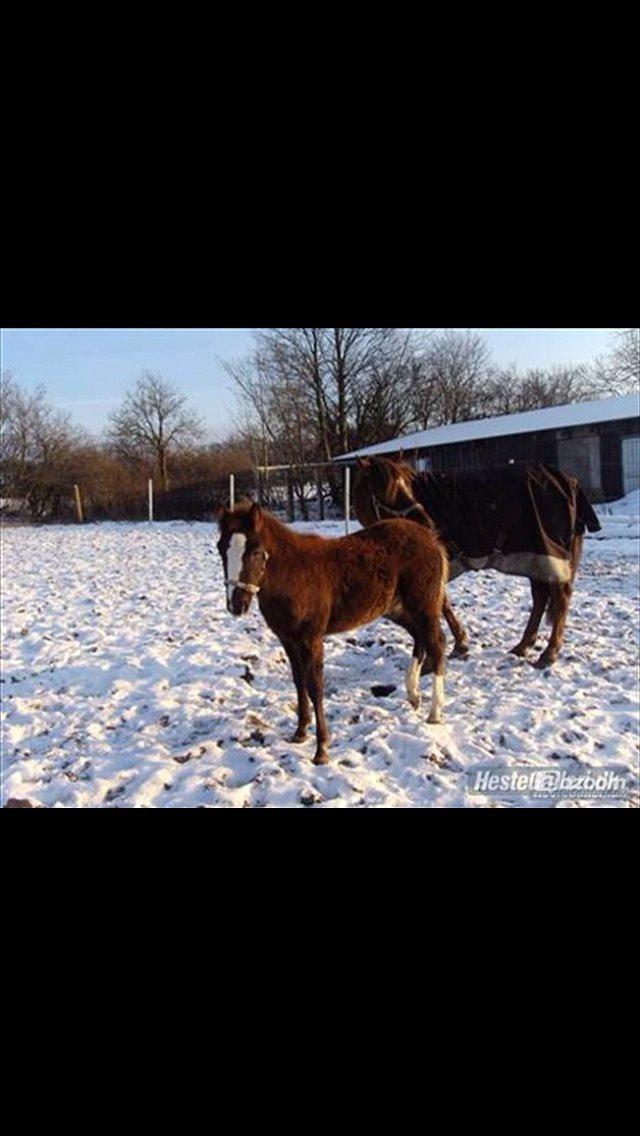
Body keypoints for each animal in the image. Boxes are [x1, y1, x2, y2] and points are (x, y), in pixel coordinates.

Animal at [218, 504, 447, 763]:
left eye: (256, 551)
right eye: (220, 549)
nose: (237, 605)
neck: (292, 574)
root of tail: (431, 538)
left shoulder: (311, 639)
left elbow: (315, 687)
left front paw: (321, 750)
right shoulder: (288, 640)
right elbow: (299, 682)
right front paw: (300, 733)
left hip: (423, 606)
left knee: (437, 645)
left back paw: (434, 712)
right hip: (397, 608)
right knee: (420, 638)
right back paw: (414, 694)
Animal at [352, 452, 604, 663]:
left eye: (405, 488)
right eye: (383, 493)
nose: (425, 523)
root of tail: (568, 481)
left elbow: (441, 602)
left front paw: (459, 644)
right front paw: (459, 643)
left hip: (548, 554)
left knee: (560, 597)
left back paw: (549, 652)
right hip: (537, 559)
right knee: (541, 598)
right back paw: (523, 646)